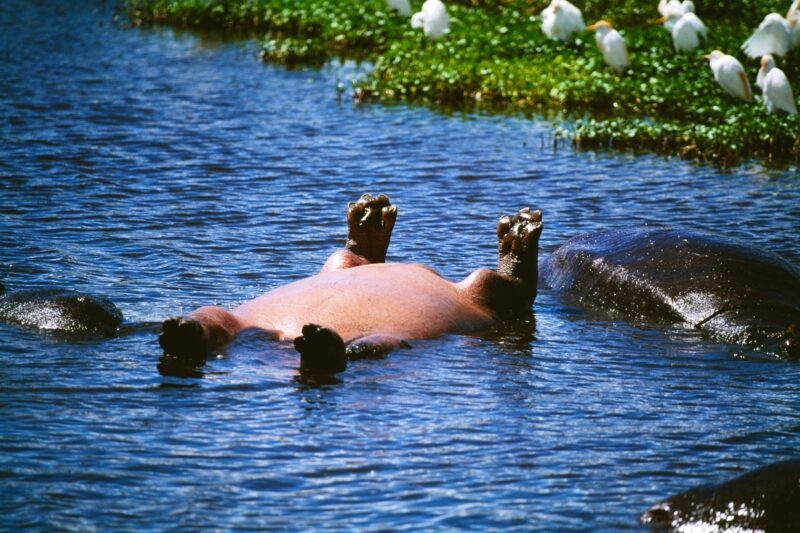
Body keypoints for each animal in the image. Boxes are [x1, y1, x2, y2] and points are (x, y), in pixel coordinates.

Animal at [158, 194, 543, 374]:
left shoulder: (491, 293)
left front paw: (519, 231)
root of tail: (282, 336)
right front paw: (371, 214)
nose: (525, 218)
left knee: (357, 350)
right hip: (235, 316)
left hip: (388, 336)